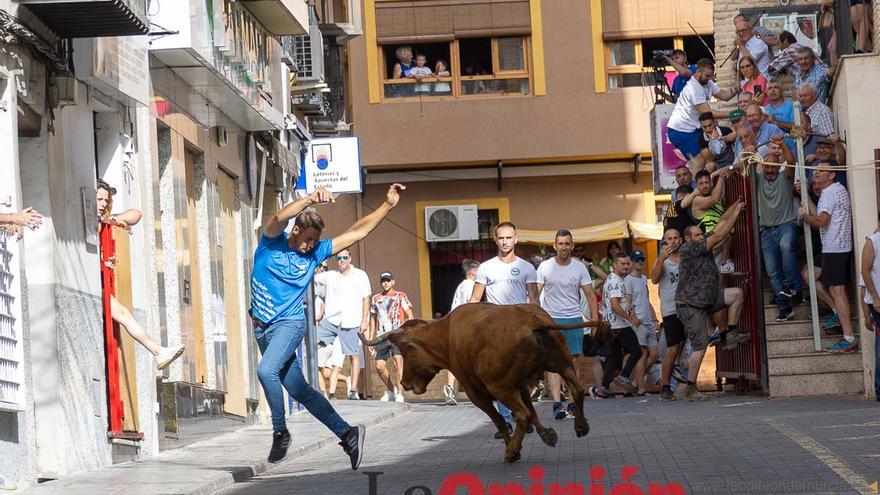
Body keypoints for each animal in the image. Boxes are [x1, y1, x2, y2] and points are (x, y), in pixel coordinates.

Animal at [358, 302, 604, 464]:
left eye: (407, 351)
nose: (404, 382)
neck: (446, 334)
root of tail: (531, 319)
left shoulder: (477, 392)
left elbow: (500, 420)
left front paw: (515, 448)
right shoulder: (521, 386)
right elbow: (533, 413)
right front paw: (547, 435)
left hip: (500, 387)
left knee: (521, 414)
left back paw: (510, 451)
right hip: (562, 365)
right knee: (577, 390)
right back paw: (581, 426)